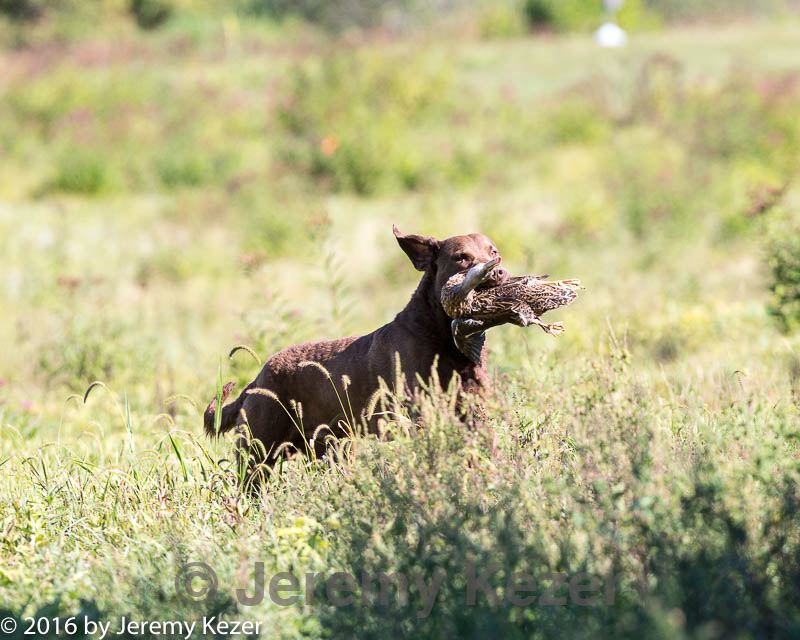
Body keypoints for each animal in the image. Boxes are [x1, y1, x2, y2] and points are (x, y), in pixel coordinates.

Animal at [205, 228, 506, 462]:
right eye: (461, 258)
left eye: (493, 251)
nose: (498, 271)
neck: (442, 338)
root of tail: (257, 380)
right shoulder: (419, 415)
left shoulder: (475, 411)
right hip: (259, 451)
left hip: (328, 448)